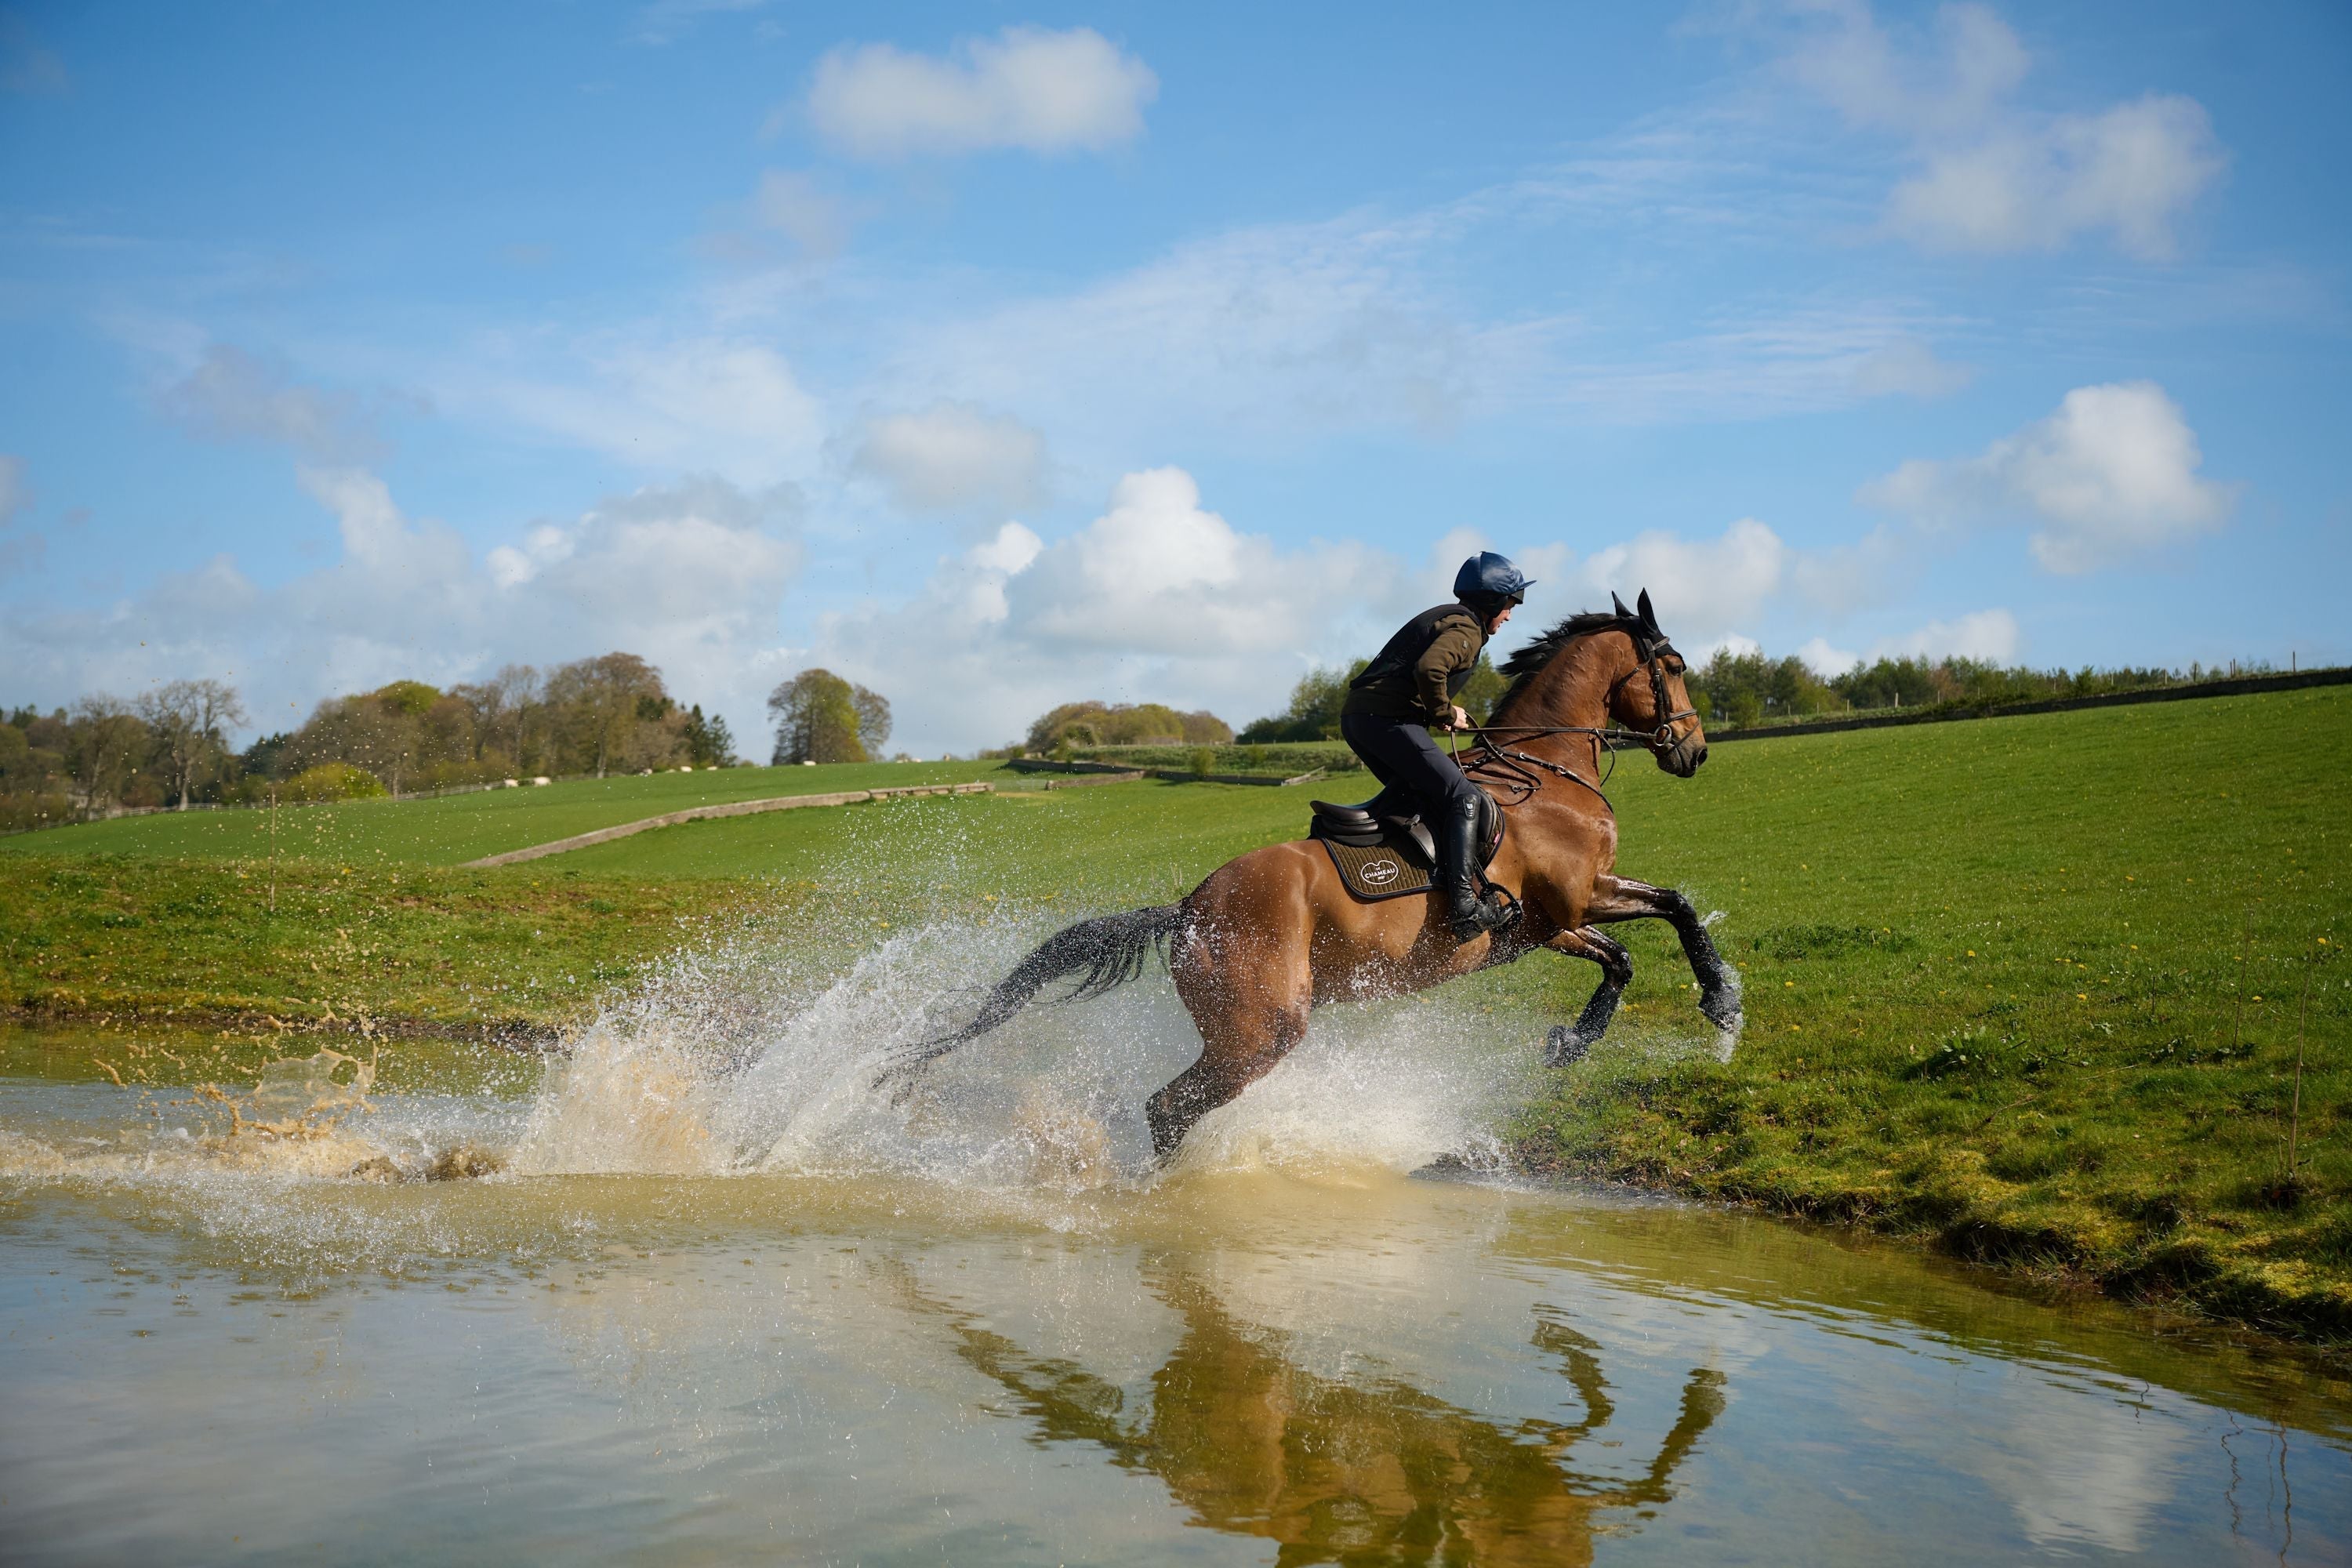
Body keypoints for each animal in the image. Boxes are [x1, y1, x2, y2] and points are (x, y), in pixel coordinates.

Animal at [903, 590, 1745, 1163]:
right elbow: (1650, 930)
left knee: (1172, 1108)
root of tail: (1188, 908)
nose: (1696, 750)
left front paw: (1631, 1027)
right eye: (1674, 666)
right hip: (1261, 1030)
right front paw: (1708, 1007)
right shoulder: (1566, 909)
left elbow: (1655, 926)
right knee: (1169, 1108)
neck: (1543, 774)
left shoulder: (1559, 920)